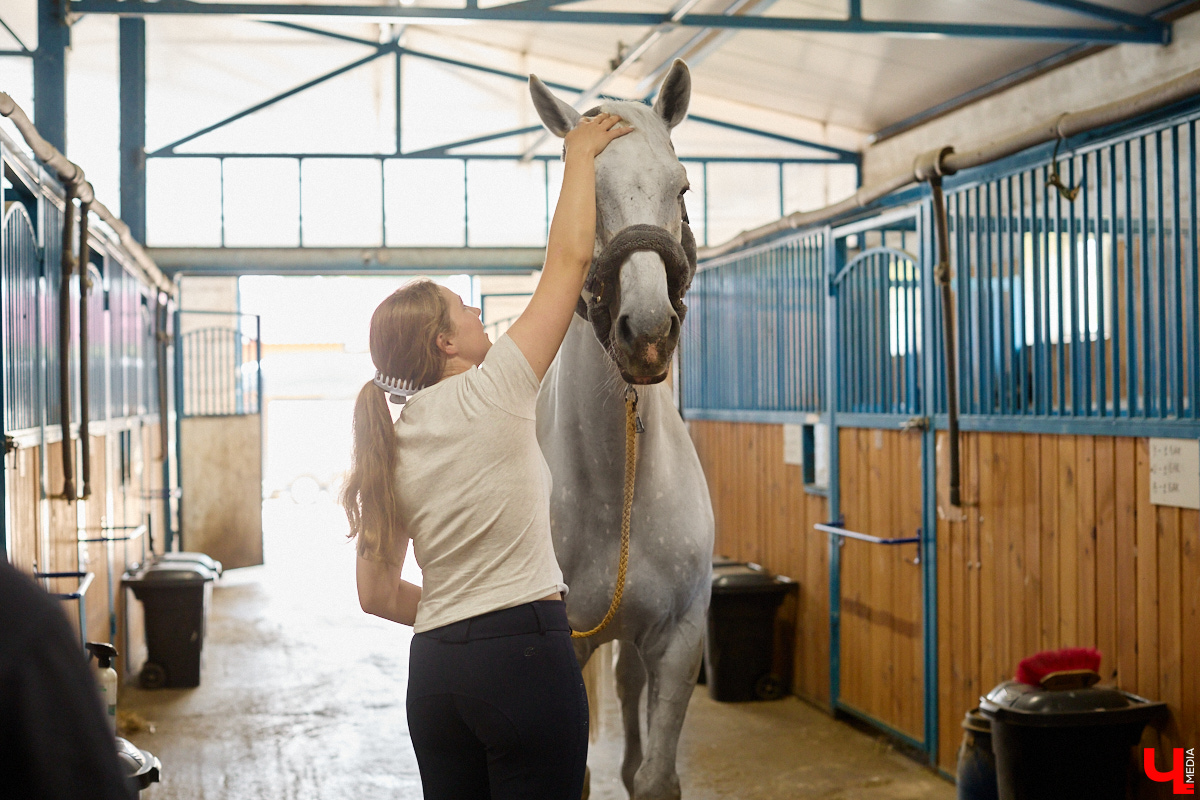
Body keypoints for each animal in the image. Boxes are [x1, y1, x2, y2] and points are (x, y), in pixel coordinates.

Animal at [530, 61, 715, 800]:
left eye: (682, 187)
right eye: (576, 194)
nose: (648, 332)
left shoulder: (680, 639)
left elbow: (656, 777)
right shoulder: (567, 647)